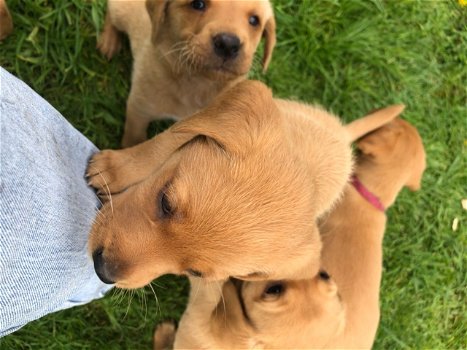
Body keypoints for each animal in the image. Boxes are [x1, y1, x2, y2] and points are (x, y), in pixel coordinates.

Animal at [98, 0, 274, 146]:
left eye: (254, 20)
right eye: (198, 4)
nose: (228, 44)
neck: (197, 81)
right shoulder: (139, 107)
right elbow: (134, 139)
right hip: (120, 11)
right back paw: (109, 40)